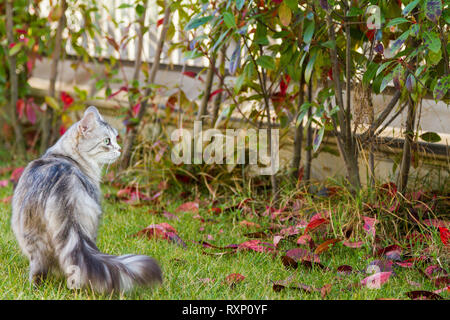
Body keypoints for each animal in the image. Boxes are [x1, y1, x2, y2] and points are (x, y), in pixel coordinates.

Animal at [10, 107, 163, 292]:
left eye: (115, 139)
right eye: (107, 141)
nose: (119, 149)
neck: (65, 156)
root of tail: (65, 185)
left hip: (35, 238)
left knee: (42, 270)